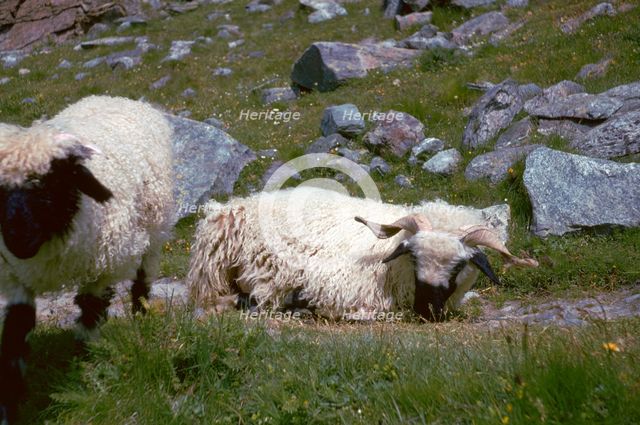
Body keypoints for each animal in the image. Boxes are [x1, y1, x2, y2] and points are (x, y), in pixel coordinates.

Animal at [0, 95, 175, 424]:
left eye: (50, 183)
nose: (17, 240)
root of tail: (116, 97)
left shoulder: (102, 268)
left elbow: (91, 312)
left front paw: (86, 362)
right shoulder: (16, 277)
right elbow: (15, 337)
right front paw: (9, 406)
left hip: (155, 222)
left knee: (144, 272)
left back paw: (141, 313)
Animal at [186, 187, 537, 322]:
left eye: (459, 266)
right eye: (413, 257)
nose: (426, 309)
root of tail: (233, 205)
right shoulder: (335, 285)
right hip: (219, 271)